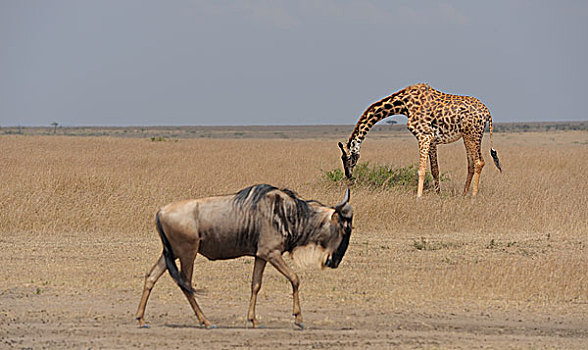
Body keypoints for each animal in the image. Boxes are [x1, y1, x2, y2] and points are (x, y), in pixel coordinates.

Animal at [340, 82, 500, 197]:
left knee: (479, 162)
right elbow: (435, 170)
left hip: (473, 134)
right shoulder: (432, 139)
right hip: (469, 136)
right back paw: (464, 194)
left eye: (346, 158)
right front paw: (438, 195)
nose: (348, 175)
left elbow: (421, 170)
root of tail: (487, 112)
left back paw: (473, 196)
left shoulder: (424, 136)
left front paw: (418, 197)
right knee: (471, 164)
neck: (404, 104)